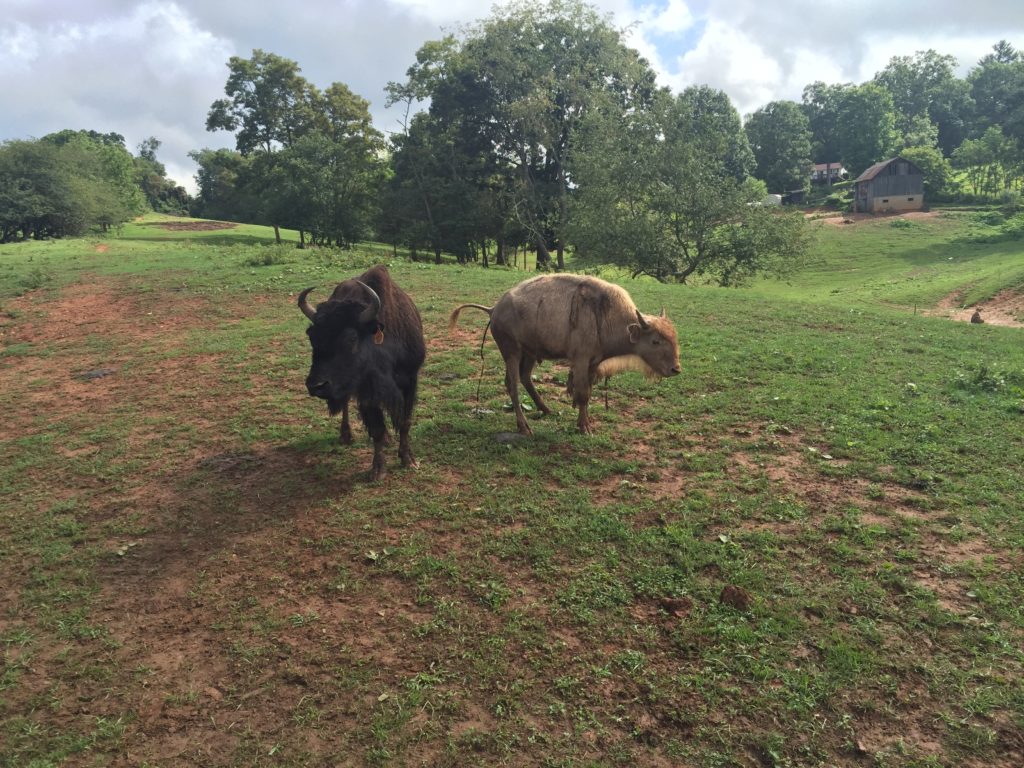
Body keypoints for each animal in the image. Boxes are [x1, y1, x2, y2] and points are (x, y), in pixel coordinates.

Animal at [299, 266, 425, 481]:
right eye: (312, 337)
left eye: (351, 338)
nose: (316, 386)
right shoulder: (367, 391)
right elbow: (376, 428)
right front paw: (378, 470)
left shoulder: (410, 381)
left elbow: (405, 422)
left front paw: (408, 460)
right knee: (346, 405)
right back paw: (346, 435)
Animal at [450, 274, 679, 434]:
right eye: (655, 341)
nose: (675, 369)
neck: (608, 316)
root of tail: (494, 309)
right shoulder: (581, 361)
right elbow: (582, 393)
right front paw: (585, 427)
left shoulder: (592, 363)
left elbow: (586, 393)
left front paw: (584, 422)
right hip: (512, 352)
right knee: (512, 384)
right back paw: (524, 427)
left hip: (529, 353)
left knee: (525, 378)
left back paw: (546, 409)